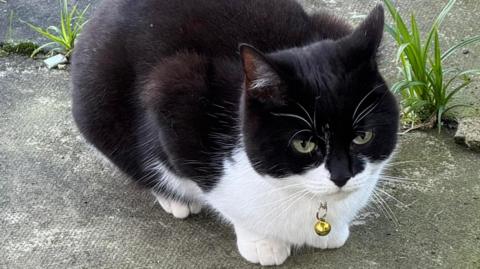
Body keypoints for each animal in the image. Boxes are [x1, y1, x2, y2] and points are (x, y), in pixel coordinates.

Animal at [72, 0, 398, 264]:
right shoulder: (174, 91)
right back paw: (174, 198)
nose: (342, 176)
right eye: (303, 144)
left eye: (362, 136)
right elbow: (219, 194)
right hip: (98, 100)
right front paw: (262, 242)